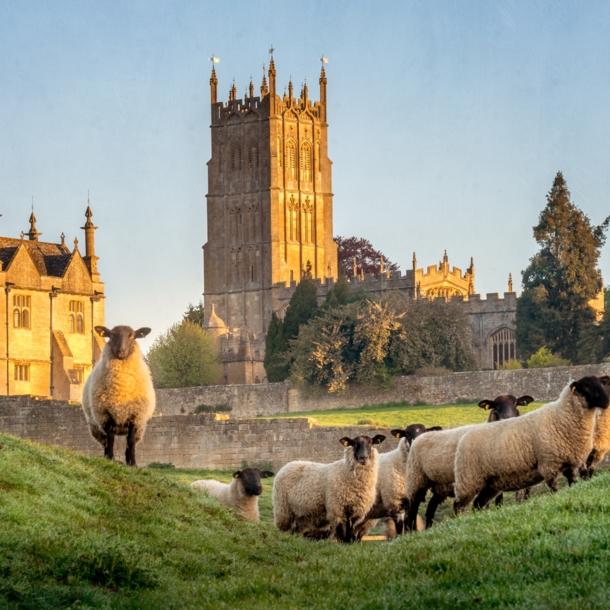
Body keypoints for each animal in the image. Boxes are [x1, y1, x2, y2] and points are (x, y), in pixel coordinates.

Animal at [81, 326, 154, 464]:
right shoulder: (106, 416)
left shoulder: (134, 417)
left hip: (139, 429)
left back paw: (128, 462)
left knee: (128, 444)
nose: (121, 351)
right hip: (96, 427)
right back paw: (107, 457)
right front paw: (111, 459)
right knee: (105, 442)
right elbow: (110, 440)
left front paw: (133, 464)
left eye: (132, 336)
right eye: (112, 335)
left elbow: (130, 442)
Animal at [404, 394, 532, 528]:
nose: (507, 418)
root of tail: (418, 439)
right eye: (495, 406)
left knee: (430, 508)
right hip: (416, 481)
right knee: (413, 510)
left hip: (439, 486)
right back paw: (412, 530)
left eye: (516, 403)